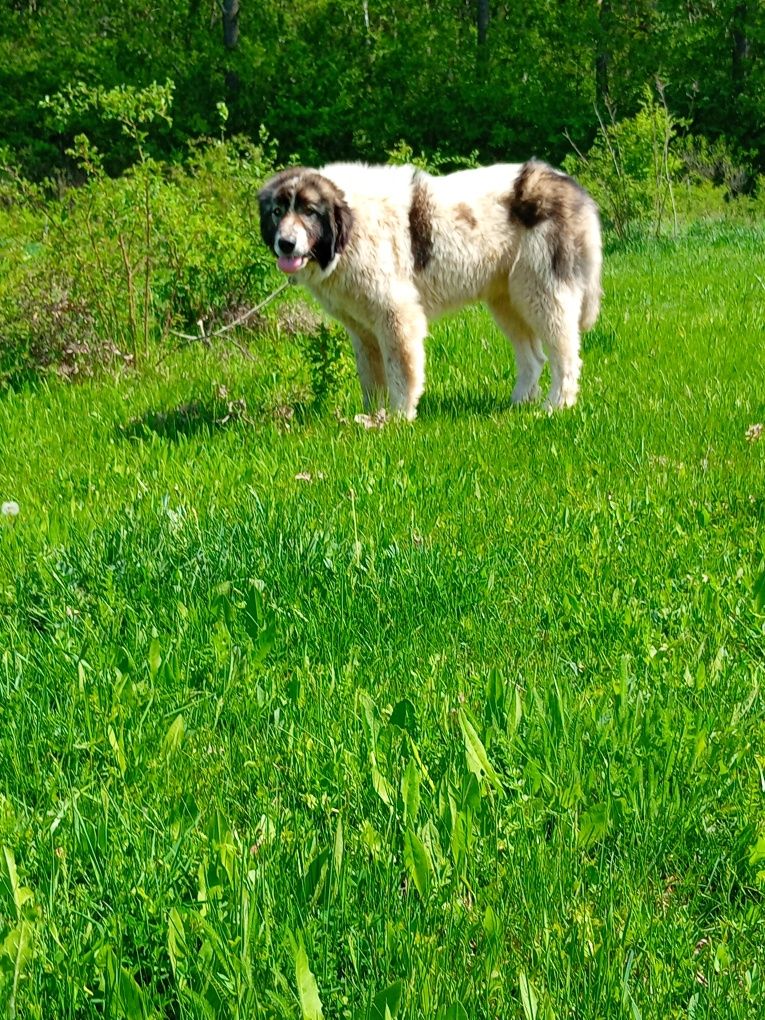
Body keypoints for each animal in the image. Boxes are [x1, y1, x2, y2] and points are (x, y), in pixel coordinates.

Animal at [261, 161, 603, 416]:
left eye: (309, 211)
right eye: (277, 212)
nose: (285, 243)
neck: (352, 228)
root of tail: (571, 187)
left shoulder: (396, 315)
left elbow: (401, 371)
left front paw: (398, 418)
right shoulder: (363, 330)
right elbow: (372, 378)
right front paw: (372, 418)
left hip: (543, 295)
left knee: (565, 356)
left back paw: (556, 405)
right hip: (509, 301)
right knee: (533, 358)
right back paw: (517, 405)